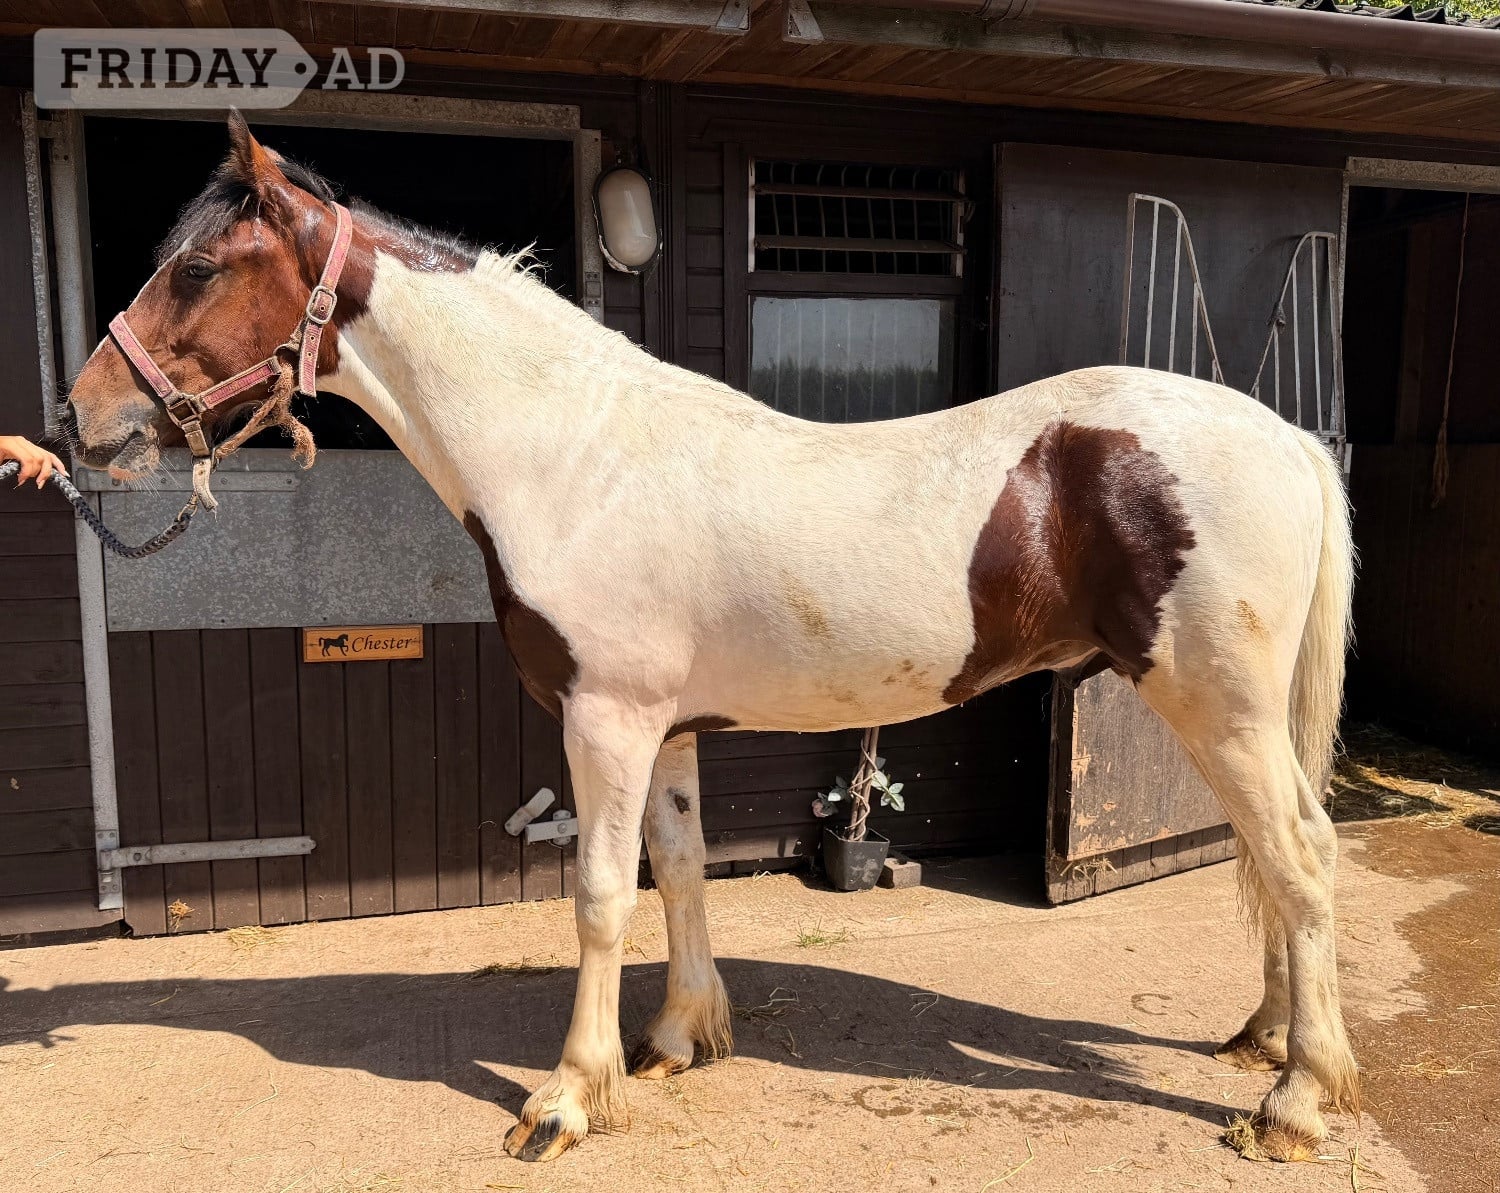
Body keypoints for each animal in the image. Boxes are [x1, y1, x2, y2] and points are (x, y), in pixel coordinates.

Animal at [66, 114, 1358, 1165]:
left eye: (196, 266)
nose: (85, 419)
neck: (574, 457)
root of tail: (1286, 438)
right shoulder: (667, 727)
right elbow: (678, 870)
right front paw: (678, 1039)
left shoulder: (606, 720)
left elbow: (597, 894)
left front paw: (564, 1098)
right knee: (1285, 852)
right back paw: (1268, 1038)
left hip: (1217, 705)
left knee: (1298, 854)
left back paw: (1296, 1100)